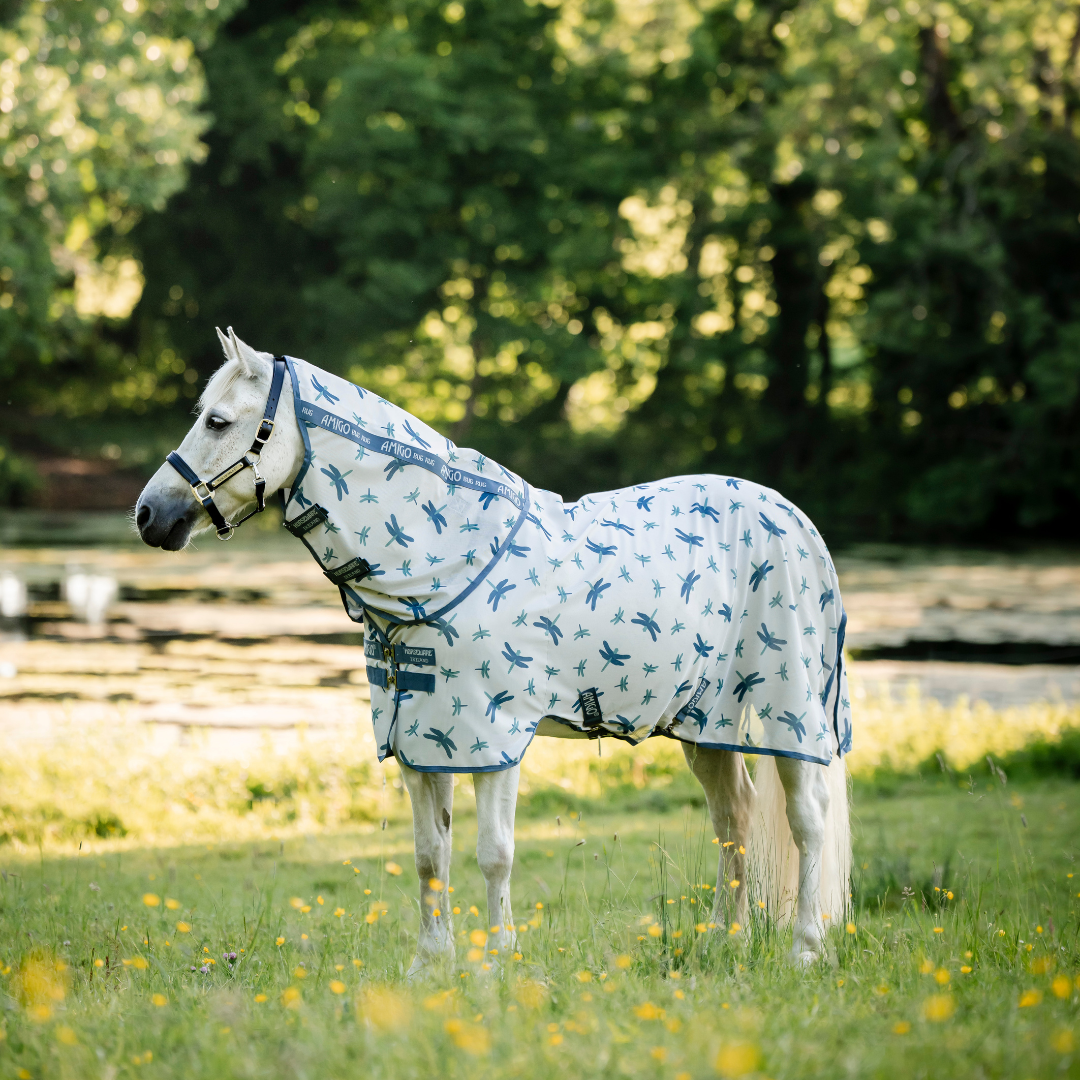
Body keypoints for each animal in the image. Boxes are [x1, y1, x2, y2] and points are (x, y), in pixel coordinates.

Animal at [135, 328, 852, 970]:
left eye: (219, 421)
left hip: (789, 713)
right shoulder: (420, 740)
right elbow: (430, 854)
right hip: (706, 723)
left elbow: (494, 852)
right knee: (735, 819)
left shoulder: (495, 736)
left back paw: (805, 950)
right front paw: (431, 964)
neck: (444, 563)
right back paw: (724, 941)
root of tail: (795, 520)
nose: (148, 515)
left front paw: (499, 961)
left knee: (807, 820)